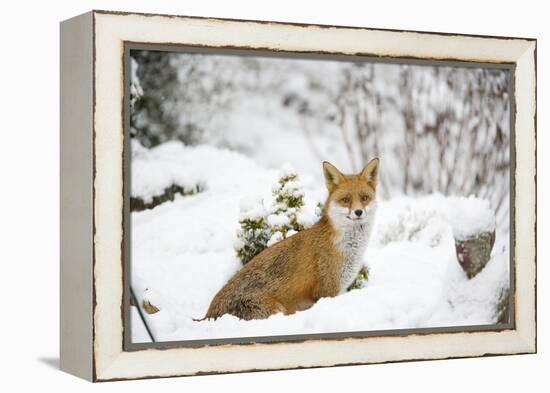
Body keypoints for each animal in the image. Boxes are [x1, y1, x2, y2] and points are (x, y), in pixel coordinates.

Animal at [202, 158, 380, 320]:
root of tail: (207, 316)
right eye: (346, 200)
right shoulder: (327, 291)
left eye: (364, 198)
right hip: (276, 310)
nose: (358, 212)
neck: (348, 248)